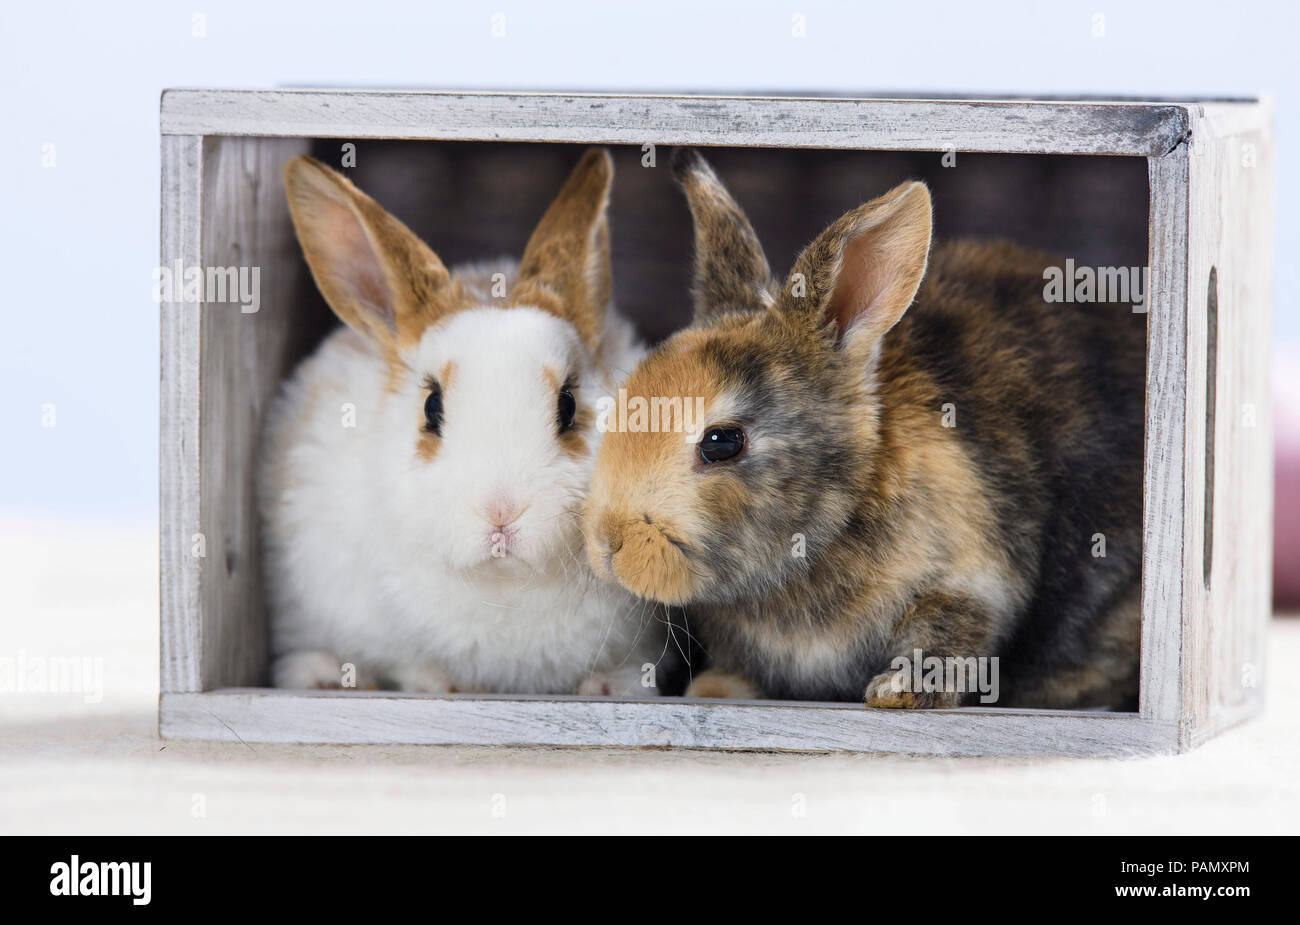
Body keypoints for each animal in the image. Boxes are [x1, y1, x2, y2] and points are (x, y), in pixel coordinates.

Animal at [262, 148, 670, 696]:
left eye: (567, 406)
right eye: (432, 409)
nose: (501, 511)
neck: (503, 583)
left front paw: (608, 689)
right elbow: (418, 667)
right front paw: (439, 685)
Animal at [585, 152, 1144, 711]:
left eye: (722, 443)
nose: (609, 542)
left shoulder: (973, 581)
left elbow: (949, 634)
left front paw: (897, 693)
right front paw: (716, 689)